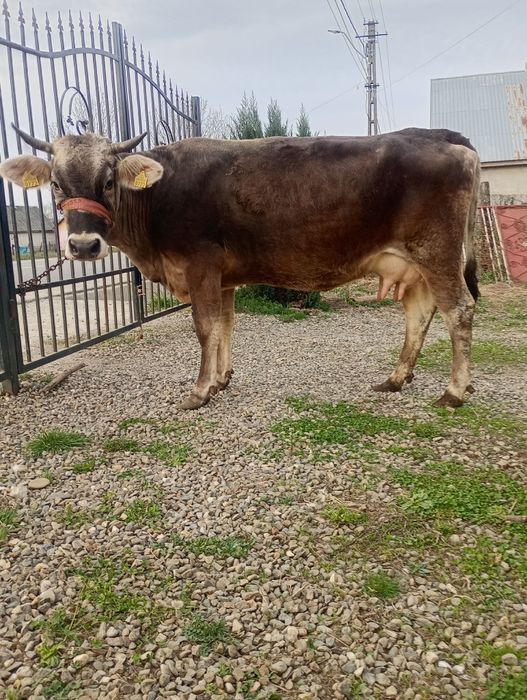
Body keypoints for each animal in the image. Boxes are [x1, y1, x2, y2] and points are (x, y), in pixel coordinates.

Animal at [0, 125, 480, 410]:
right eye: (56, 183)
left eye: (107, 180)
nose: (82, 245)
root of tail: (440, 137)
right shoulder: (223, 276)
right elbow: (225, 325)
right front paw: (221, 380)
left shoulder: (199, 264)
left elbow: (205, 327)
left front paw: (199, 391)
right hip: (413, 263)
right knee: (419, 314)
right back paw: (396, 379)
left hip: (437, 251)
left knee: (459, 311)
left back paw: (454, 391)